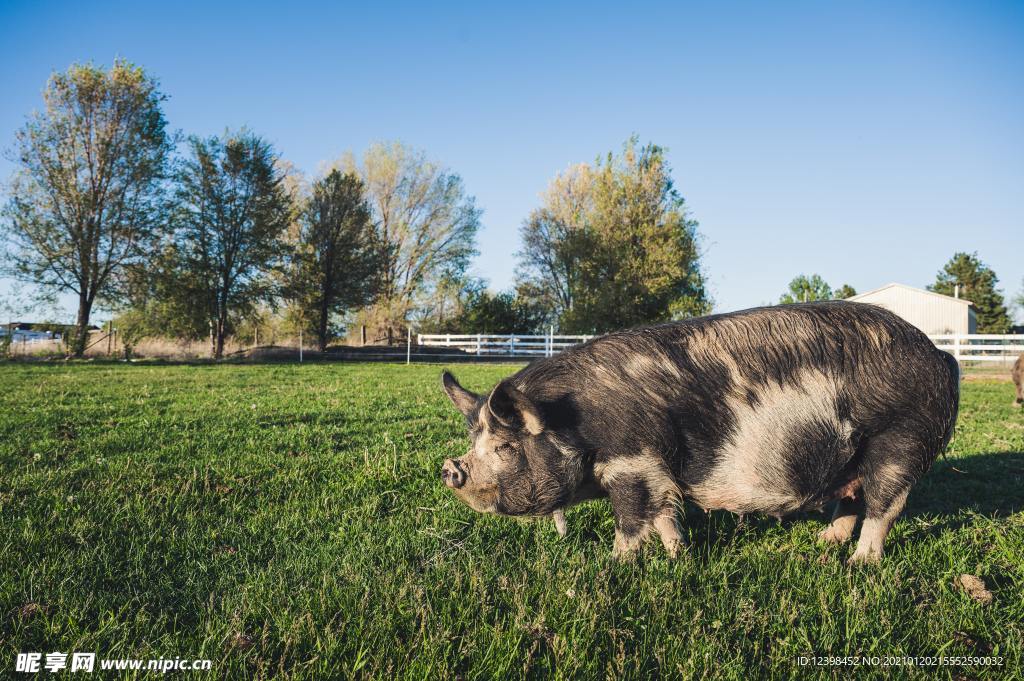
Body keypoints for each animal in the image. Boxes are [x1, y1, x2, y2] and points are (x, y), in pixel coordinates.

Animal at [440, 301, 958, 561]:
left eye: (505, 445)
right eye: (473, 441)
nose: (450, 469)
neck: (576, 423)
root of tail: (941, 357)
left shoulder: (633, 462)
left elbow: (632, 520)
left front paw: (615, 564)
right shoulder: (658, 471)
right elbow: (665, 515)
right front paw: (677, 557)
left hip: (901, 443)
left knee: (884, 507)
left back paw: (860, 564)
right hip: (852, 458)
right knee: (849, 499)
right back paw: (823, 545)